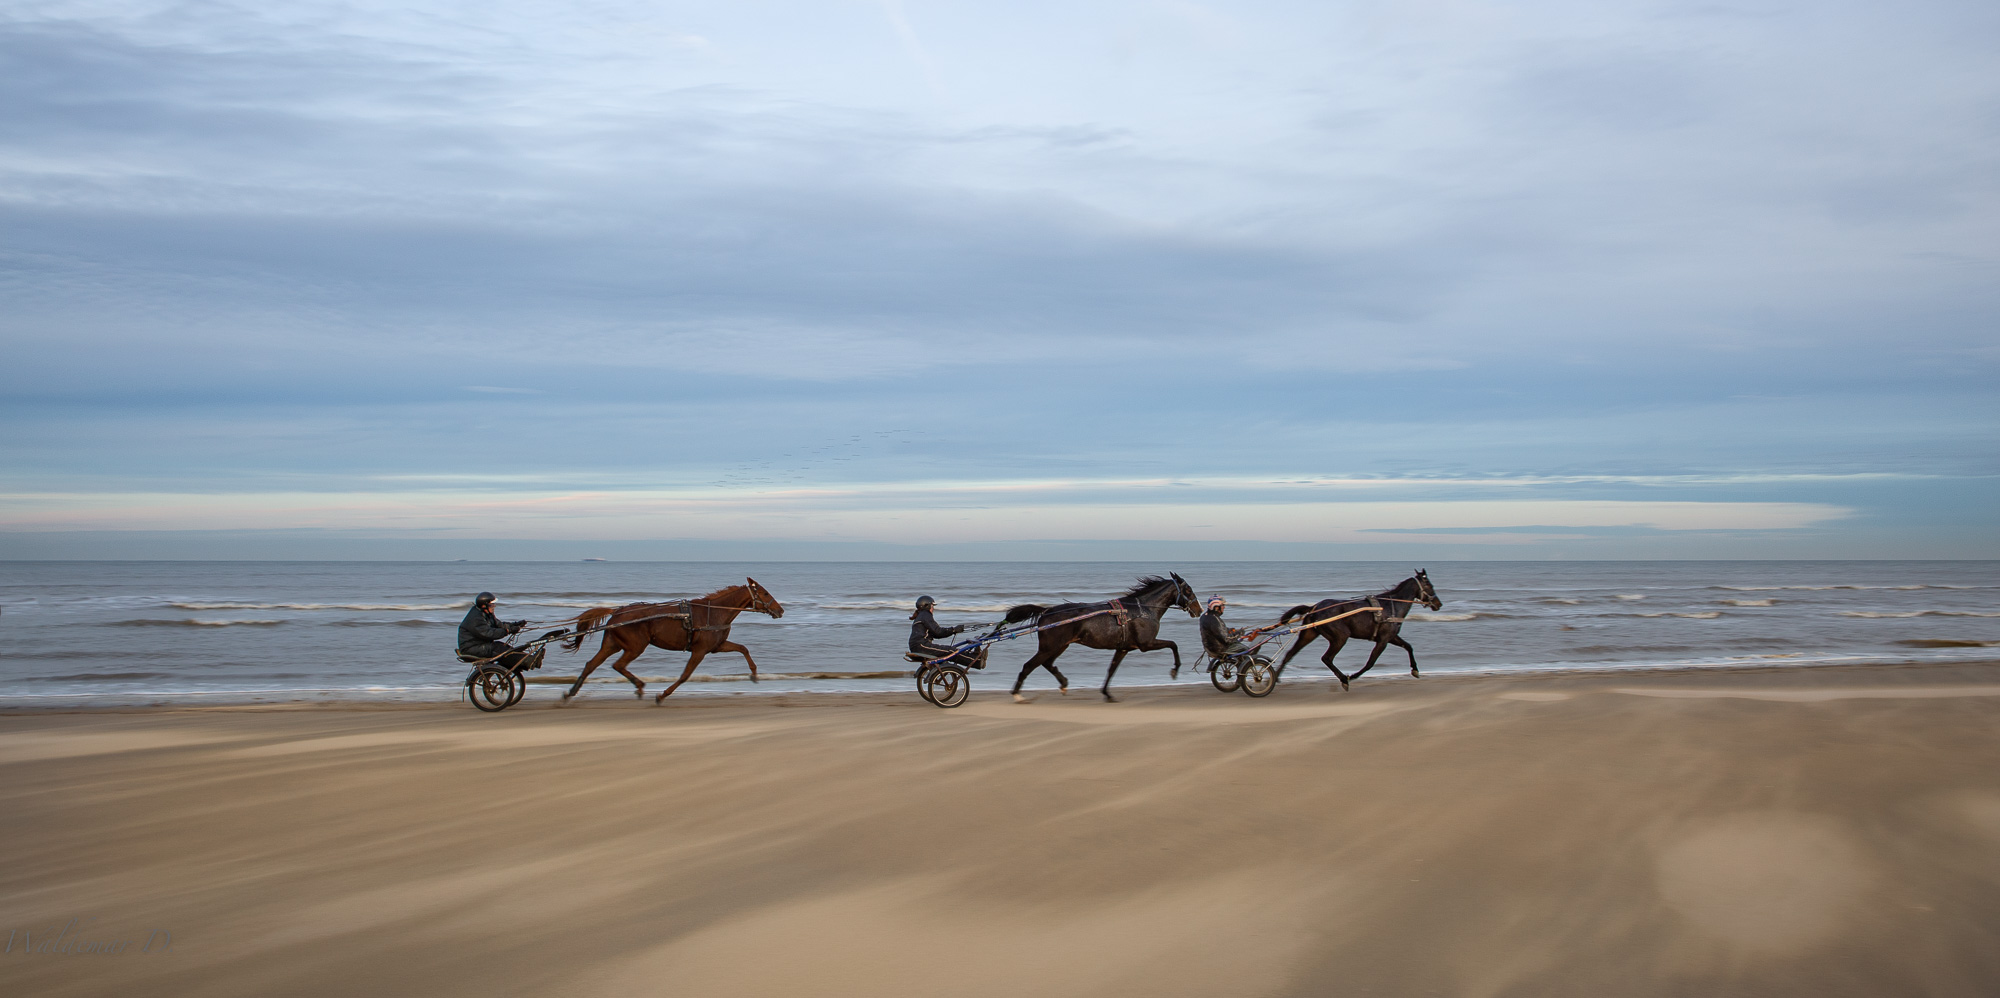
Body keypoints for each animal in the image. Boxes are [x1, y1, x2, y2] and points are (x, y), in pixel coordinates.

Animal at [564, 580, 788, 704]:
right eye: (765, 593)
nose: (781, 610)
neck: (714, 612)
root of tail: (617, 611)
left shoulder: (716, 646)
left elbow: (743, 648)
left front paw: (754, 674)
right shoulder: (700, 651)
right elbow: (685, 675)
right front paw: (662, 695)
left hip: (612, 644)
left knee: (591, 665)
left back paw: (570, 693)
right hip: (635, 646)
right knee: (618, 665)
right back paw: (639, 685)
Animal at [1000, 576, 1200, 708]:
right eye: (1188, 590)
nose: (1199, 610)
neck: (1143, 610)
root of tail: (1046, 611)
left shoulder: (1124, 648)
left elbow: (1111, 670)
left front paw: (1107, 694)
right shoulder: (1146, 644)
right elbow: (1173, 644)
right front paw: (1175, 670)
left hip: (1060, 646)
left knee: (1047, 664)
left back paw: (1063, 684)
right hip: (1050, 647)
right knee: (1029, 665)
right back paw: (1017, 695)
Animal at [1272, 576, 1448, 692]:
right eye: (1430, 585)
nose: (1438, 604)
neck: (1390, 606)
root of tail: (1315, 607)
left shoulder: (1391, 637)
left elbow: (1409, 647)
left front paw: (1415, 670)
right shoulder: (1383, 640)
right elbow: (1370, 663)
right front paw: (1353, 676)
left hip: (1309, 634)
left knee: (1290, 654)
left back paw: (1277, 677)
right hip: (1340, 637)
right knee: (1326, 658)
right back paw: (1344, 679)